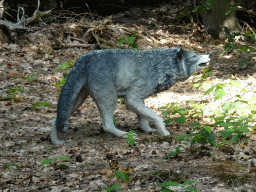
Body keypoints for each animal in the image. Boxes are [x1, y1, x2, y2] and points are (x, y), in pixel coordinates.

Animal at [51, 47, 211, 145]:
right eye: (194, 55)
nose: (209, 54)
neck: (162, 66)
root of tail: (85, 56)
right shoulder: (131, 99)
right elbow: (157, 117)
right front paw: (163, 132)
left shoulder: (139, 99)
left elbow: (144, 120)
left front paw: (149, 130)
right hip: (109, 98)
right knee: (107, 125)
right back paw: (124, 134)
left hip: (77, 100)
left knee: (56, 118)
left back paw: (56, 141)